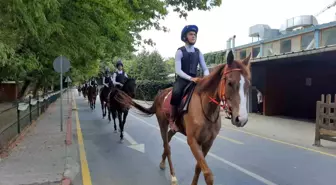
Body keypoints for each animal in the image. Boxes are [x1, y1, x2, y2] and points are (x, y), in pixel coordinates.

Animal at [114, 49, 251, 184]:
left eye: (248, 84)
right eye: (230, 83)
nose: (241, 119)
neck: (207, 109)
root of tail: (159, 96)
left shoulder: (208, 142)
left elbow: (198, 168)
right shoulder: (192, 141)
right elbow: (208, 174)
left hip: (176, 128)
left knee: (167, 140)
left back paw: (162, 163)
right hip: (162, 123)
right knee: (167, 146)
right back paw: (173, 175)